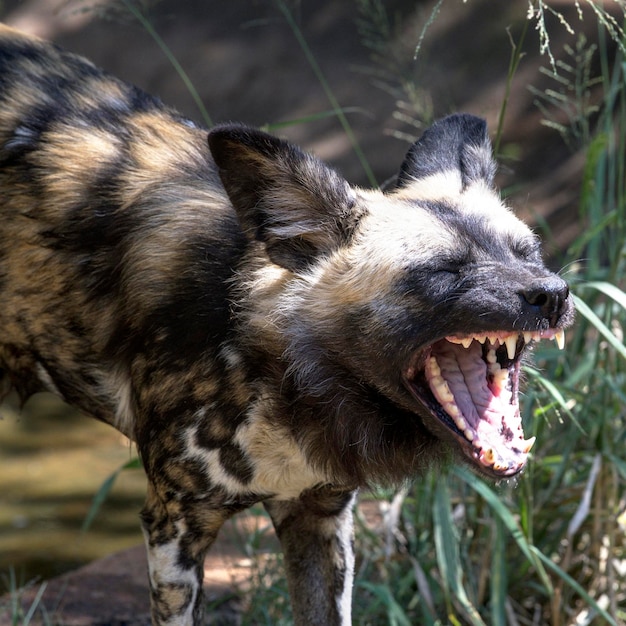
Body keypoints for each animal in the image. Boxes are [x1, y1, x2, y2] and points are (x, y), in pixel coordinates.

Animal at [0, 23, 572, 624]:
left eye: (528, 252)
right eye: (444, 271)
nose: (553, 293)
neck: (276, 371)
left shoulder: (320, 516)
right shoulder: (174, 530)